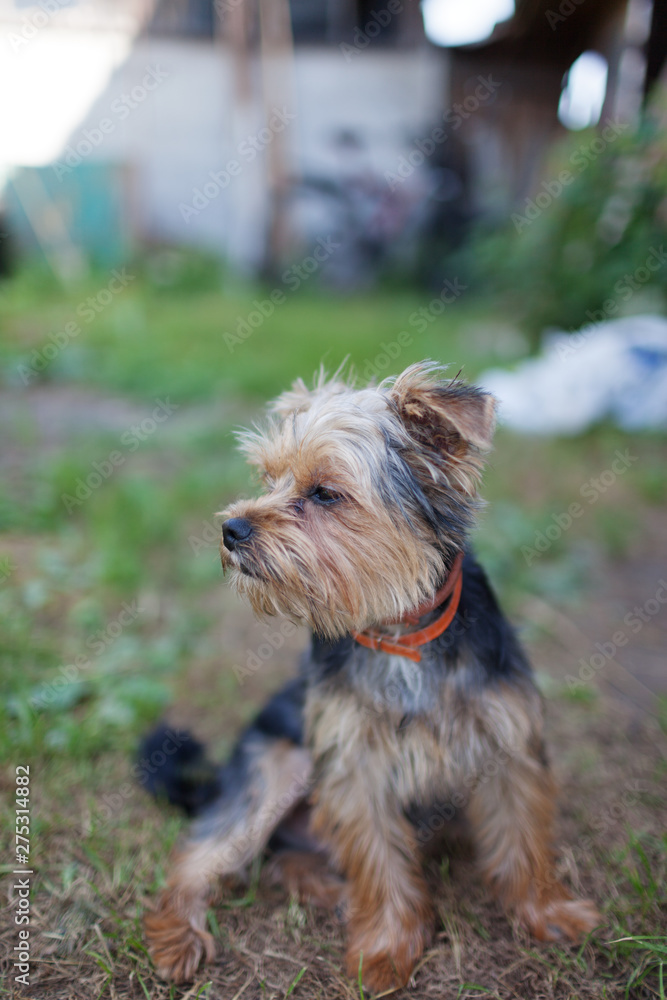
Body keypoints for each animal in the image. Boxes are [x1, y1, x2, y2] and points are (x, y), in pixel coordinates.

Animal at [144, 364, 604, 988]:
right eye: (268, 477)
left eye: (324, 493)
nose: (232, 529)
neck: (398, 632)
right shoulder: (354, 767)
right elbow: (379, 863)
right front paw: (385, 952)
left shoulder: (508, 743)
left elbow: (523, 837)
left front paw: (546, 912)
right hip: (276, 767)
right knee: (198, 860)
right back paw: (178, 937)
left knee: (286, 860)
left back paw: (326, 887)